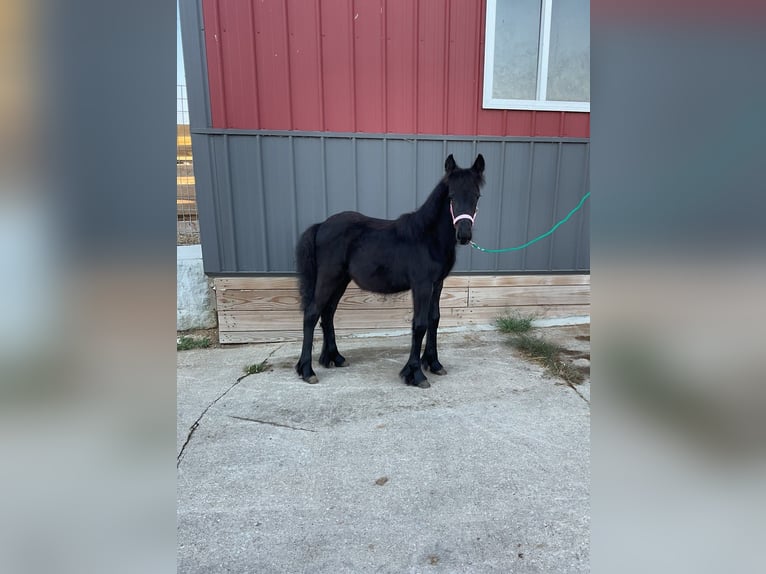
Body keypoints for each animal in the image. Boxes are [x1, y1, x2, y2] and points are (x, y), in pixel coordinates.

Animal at [294, 154, 485, 388]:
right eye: (451, 196)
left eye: (476, 196)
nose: (464, 235)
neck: (427, 236)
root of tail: (321, 225)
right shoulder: (421, 285)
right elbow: (420, 324)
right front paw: (415, 374)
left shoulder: (437, 284)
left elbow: (434, 319)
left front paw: (433, 364)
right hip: (328, 278)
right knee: (312, 314)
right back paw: (306, 370)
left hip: (341, 280)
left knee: (328, 313)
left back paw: (334, 357)